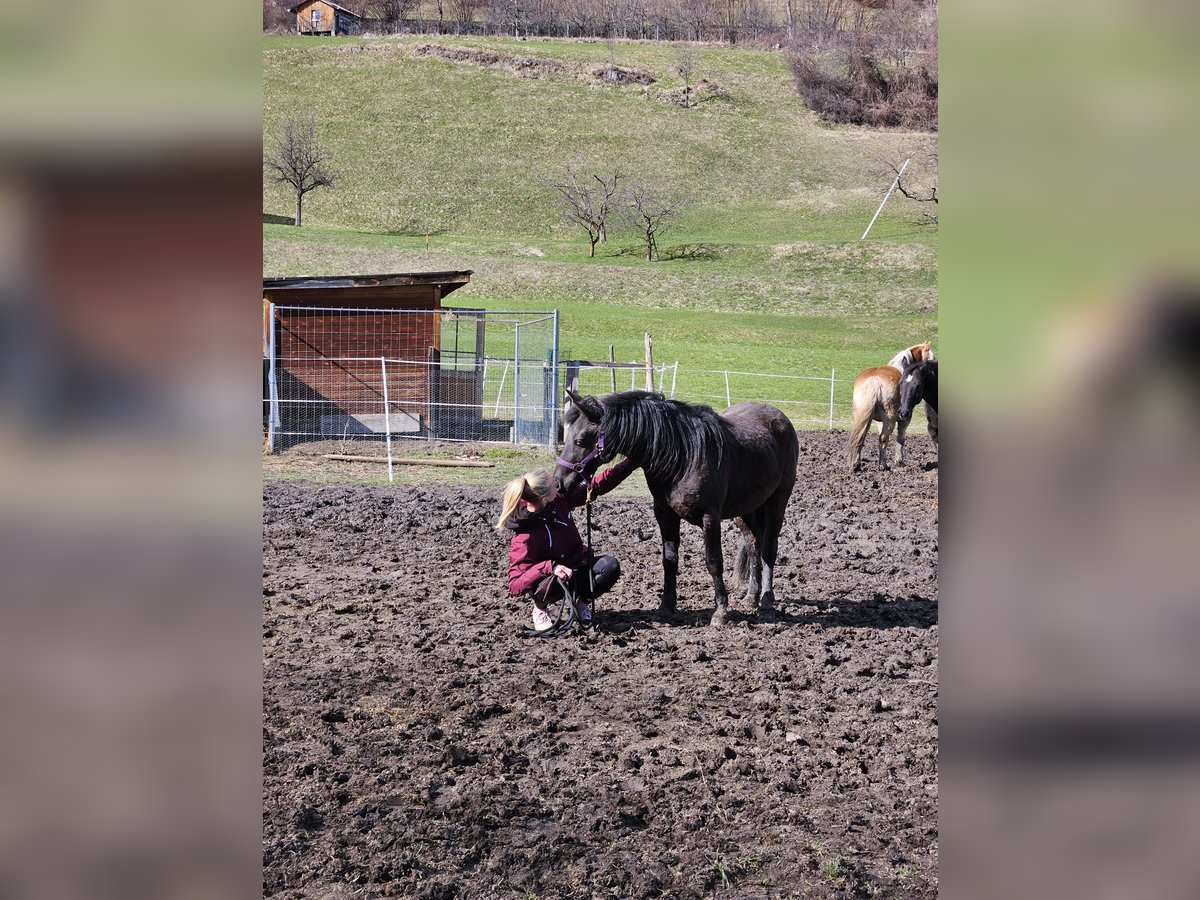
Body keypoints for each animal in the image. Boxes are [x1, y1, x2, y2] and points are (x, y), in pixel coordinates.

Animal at [556, 391, 801, 628]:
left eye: (579, 440)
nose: (559, 482)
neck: (684, 456)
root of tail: (779, 417)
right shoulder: (665, 515)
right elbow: (670, 561)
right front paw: (665, 608)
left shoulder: (710, 517)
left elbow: (714, 562)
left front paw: (720, 613)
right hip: (746, 509)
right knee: (753, 545)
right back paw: (751, 597)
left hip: (777, 501)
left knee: (768, 549)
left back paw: (767, 606)